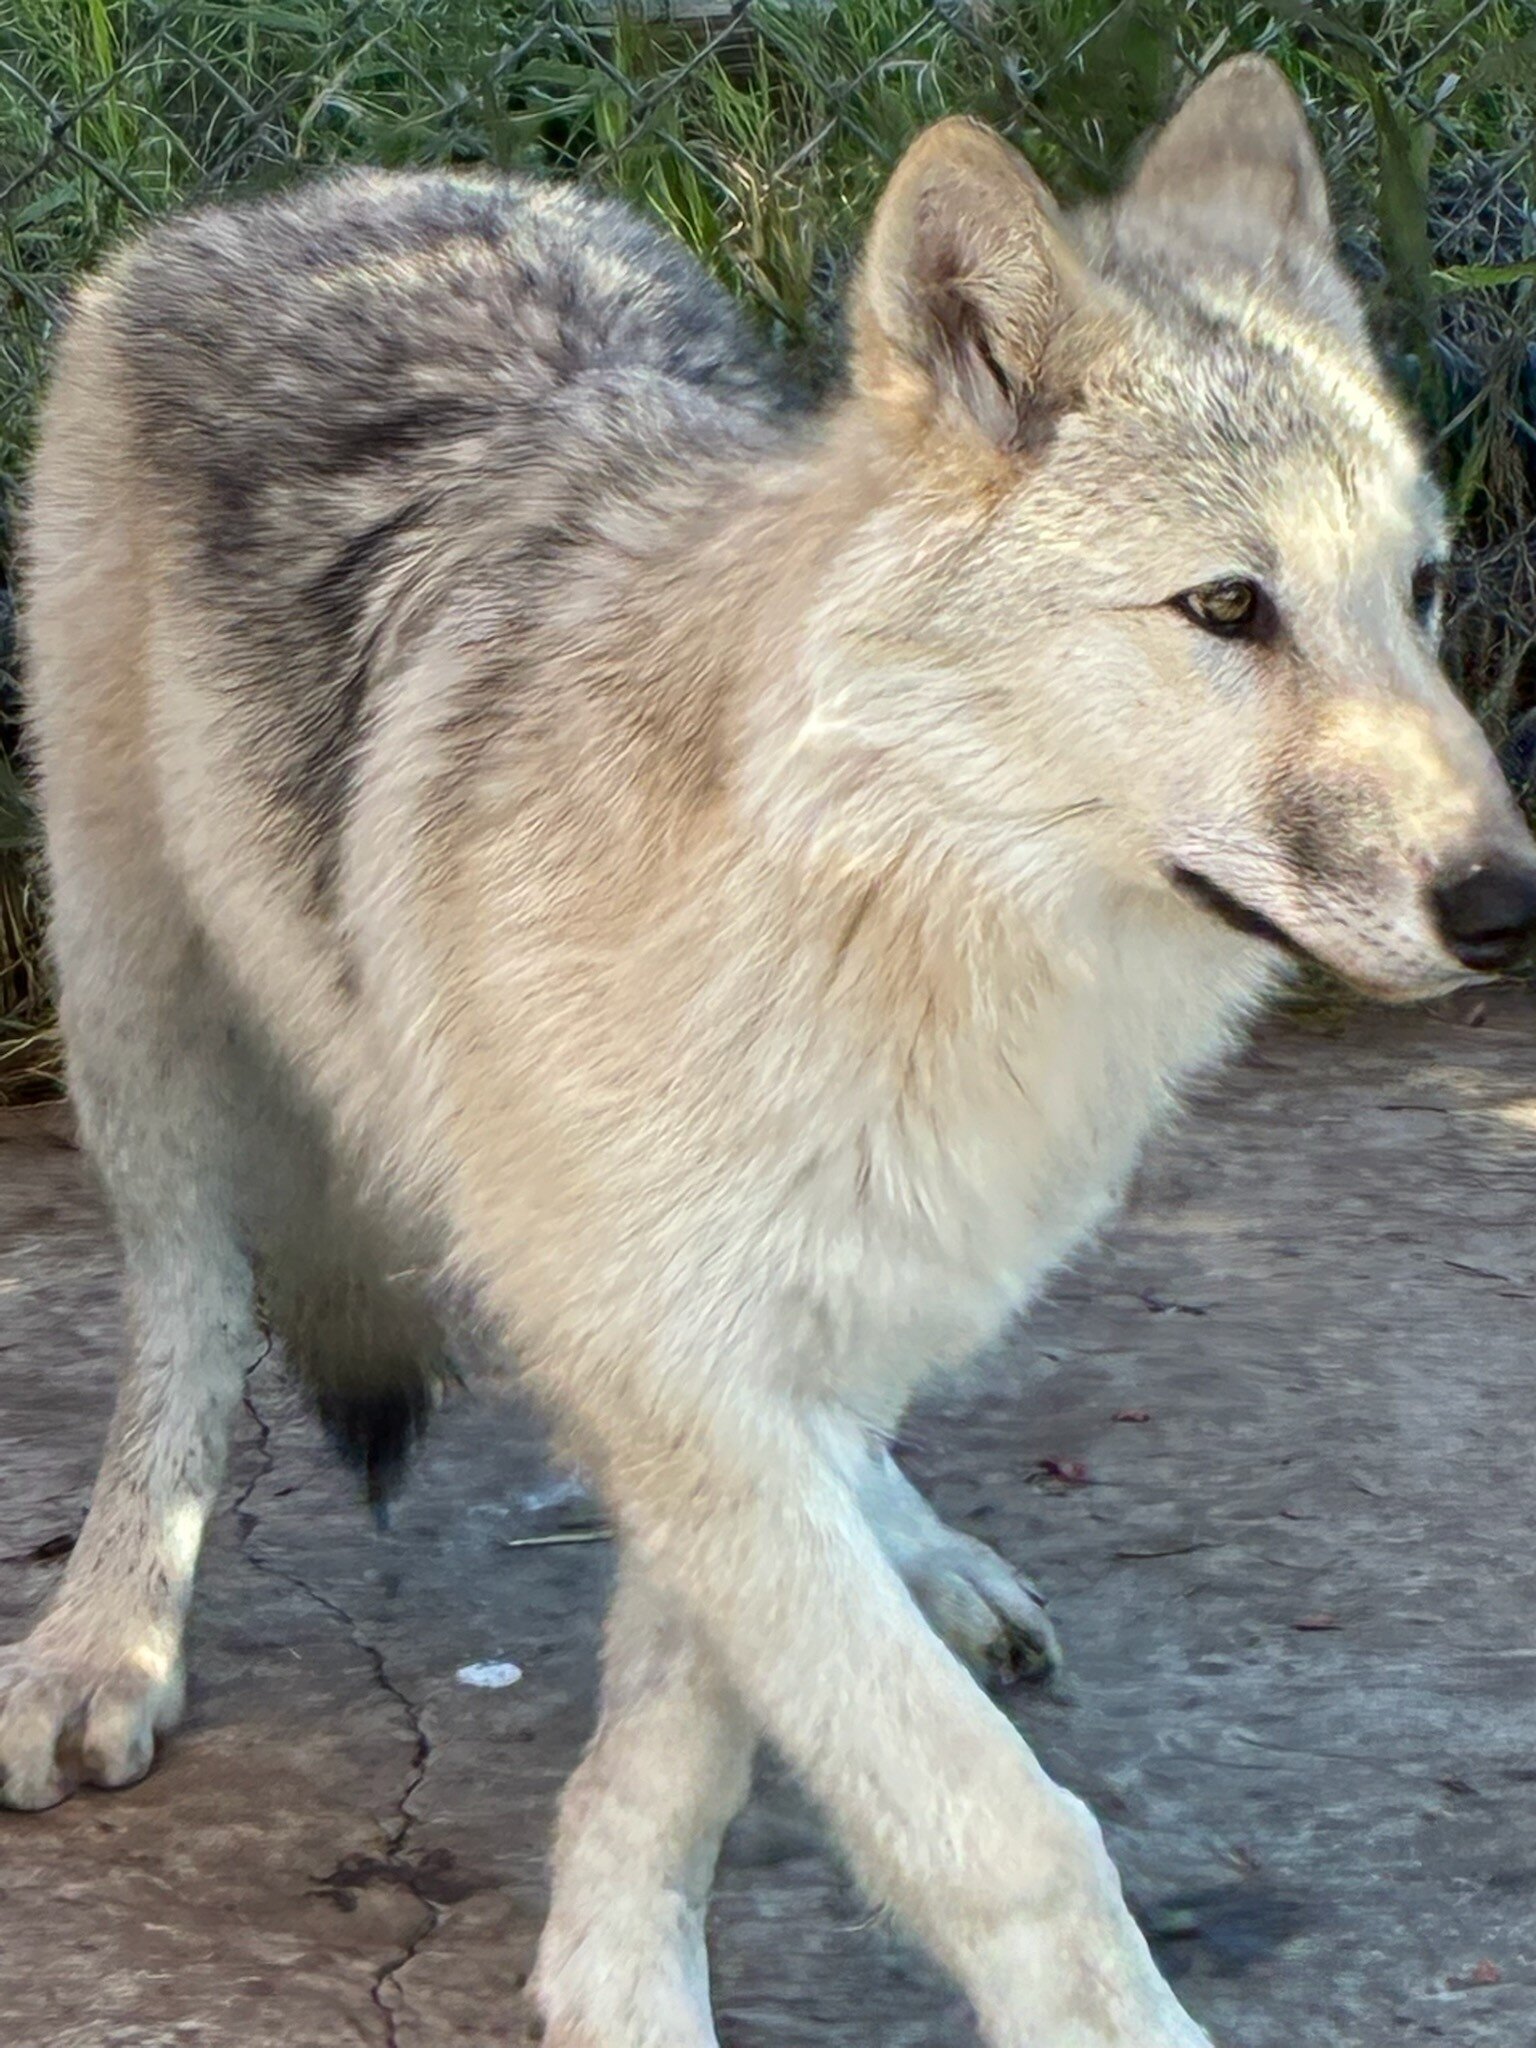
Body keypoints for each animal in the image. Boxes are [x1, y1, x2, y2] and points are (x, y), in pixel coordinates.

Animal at [7, 52, 1535, 2047]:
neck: (881, 923)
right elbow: (996, 1823)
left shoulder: (763, 1340)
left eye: (1417, 592)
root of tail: (328, 187)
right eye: (1226, 607)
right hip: (142, 1018)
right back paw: (103, 1636)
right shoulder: (672, 1357)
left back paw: (924, 1545)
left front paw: (615, 1950)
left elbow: (697, 1733)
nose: (1510, 903)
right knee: (186, 1321)